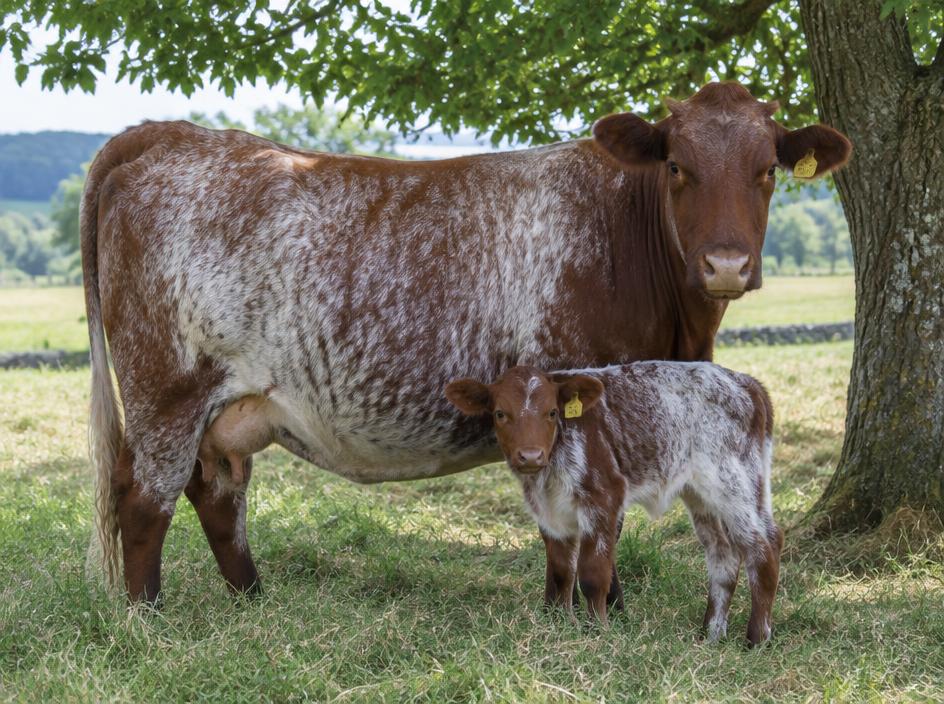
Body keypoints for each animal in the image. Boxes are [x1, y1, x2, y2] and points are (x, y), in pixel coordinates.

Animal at [81, 82, 849, 601]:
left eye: (768, 169)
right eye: (678, 167)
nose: (726, 265)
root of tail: (171, 135)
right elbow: (592, 522)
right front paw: (602, 605)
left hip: (228, 410)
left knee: (217, 493)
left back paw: (251, 598)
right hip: (166, 390)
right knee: (143, 497)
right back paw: (146, 616)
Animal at [444, 363, 780, 645]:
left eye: (552, 412)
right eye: (500, 414)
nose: (530, 456)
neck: (548, 471)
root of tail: (747, 383)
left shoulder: (604, 498)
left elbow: (592, 574)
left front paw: (597, 631)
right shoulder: (549, 513)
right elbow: (560, 572)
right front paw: (561, 625)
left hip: (734, 481)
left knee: (763, 549)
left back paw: (756, 639)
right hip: (701, 493)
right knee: (724, 555)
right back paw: (711, 634)